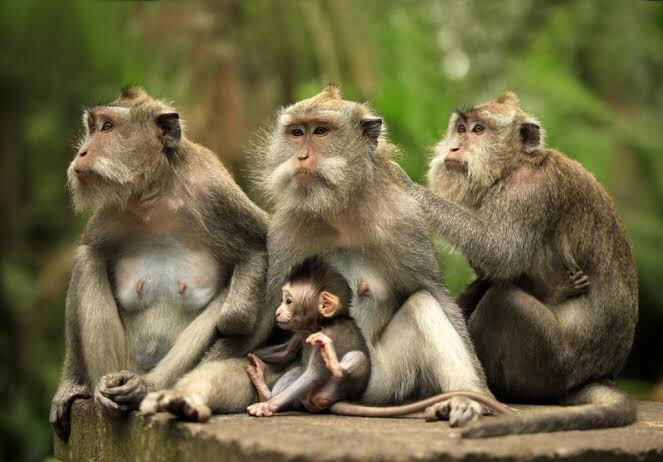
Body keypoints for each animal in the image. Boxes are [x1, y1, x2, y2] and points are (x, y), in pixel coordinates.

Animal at [49, 87, 272, 441]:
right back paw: (104, 388)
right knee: (87, 261)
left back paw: (146, 387)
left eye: (108, 127)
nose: (83, 152)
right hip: (124, 361)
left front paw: (235, 320)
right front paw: (72, 385)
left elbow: (258, 252)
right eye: (92, 127)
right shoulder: (111, 212)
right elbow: (89, 250)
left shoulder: (214, 192)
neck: (156, 195)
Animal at [245, 257, 514, 419]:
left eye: (288, 301)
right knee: (295, 371)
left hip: (352, 386)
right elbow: (287, 353)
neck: (319, 324)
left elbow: (313, 373)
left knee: (354, 359)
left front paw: (268, 406)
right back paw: (264, 388)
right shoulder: (301, 334)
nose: (278, 312)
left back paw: (332, 363)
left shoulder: (324, 332)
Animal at [397, 91, 638, 437]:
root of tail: (598, 374)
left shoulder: (528, 191)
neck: (515, 166)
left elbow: (501, 251)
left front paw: (403, 184)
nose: (454, 148)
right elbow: (493, 268)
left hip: (552, 365)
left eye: (479, 130)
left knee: (504, 301)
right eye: (461, 128)